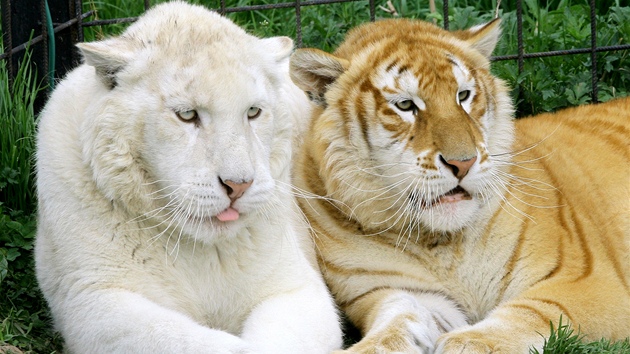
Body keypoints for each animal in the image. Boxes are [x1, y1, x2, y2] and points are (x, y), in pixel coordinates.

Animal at [288, 17, 628, 354]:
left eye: (463, 96)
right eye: (405, 105)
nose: (463, 163)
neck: (441, 243)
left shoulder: (586, 281)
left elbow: (534, 310)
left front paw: (470, 342)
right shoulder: (399, 291)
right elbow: (400, 315)